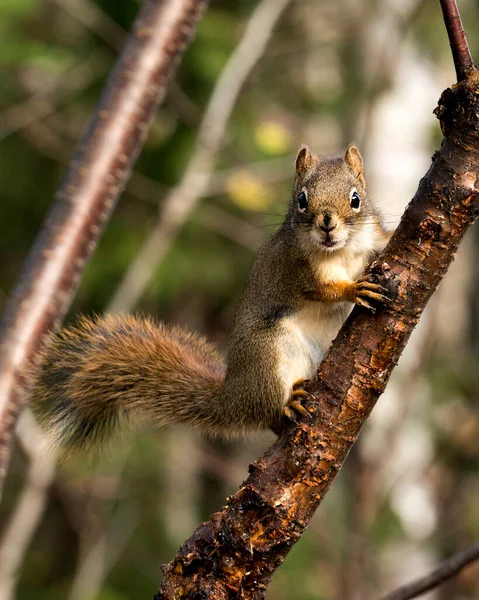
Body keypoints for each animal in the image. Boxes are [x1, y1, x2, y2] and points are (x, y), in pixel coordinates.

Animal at [33, 143, 394, 448]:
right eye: (302, 199)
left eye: (356, 198)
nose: (327, 224)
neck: (340, 250)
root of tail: (233, 397)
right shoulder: (297, 268)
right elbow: (322, 289)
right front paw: (353, 288)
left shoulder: (371, 238)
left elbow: (384, 239)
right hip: (269, 354)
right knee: (271, 413)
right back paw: (289, 403)